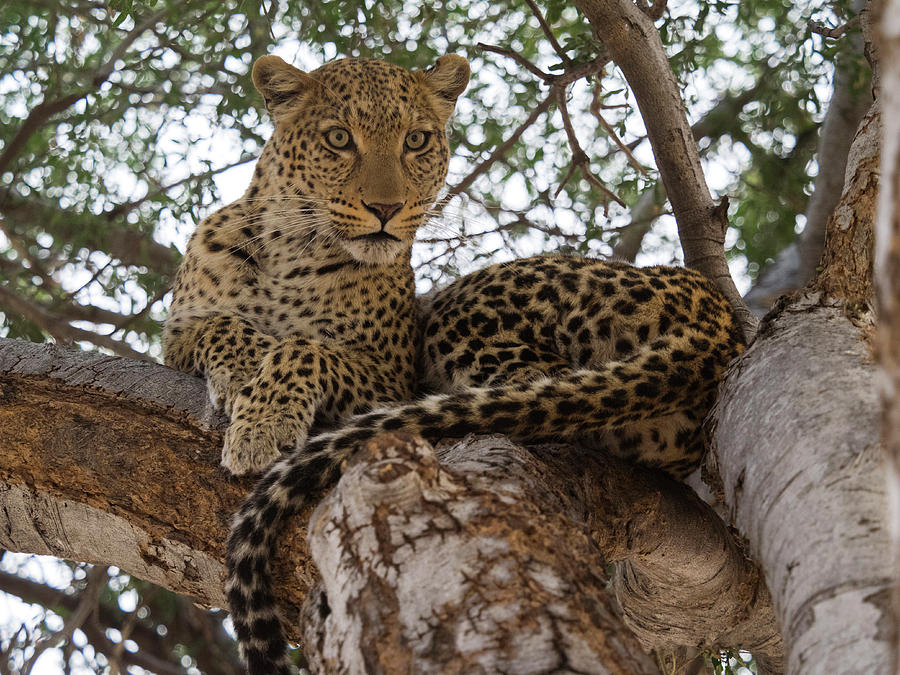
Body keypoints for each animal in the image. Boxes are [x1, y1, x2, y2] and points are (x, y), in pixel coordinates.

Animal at [162, 54, 744, 675]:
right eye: (338, 138)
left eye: (416, 140)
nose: (386, 210)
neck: (291, 247)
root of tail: (715, 313)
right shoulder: (176, 335)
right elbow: (218, 325)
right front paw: (243, 372)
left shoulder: (391, 378)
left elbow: (306, 348)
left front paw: (262, 421)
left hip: (465, 315)